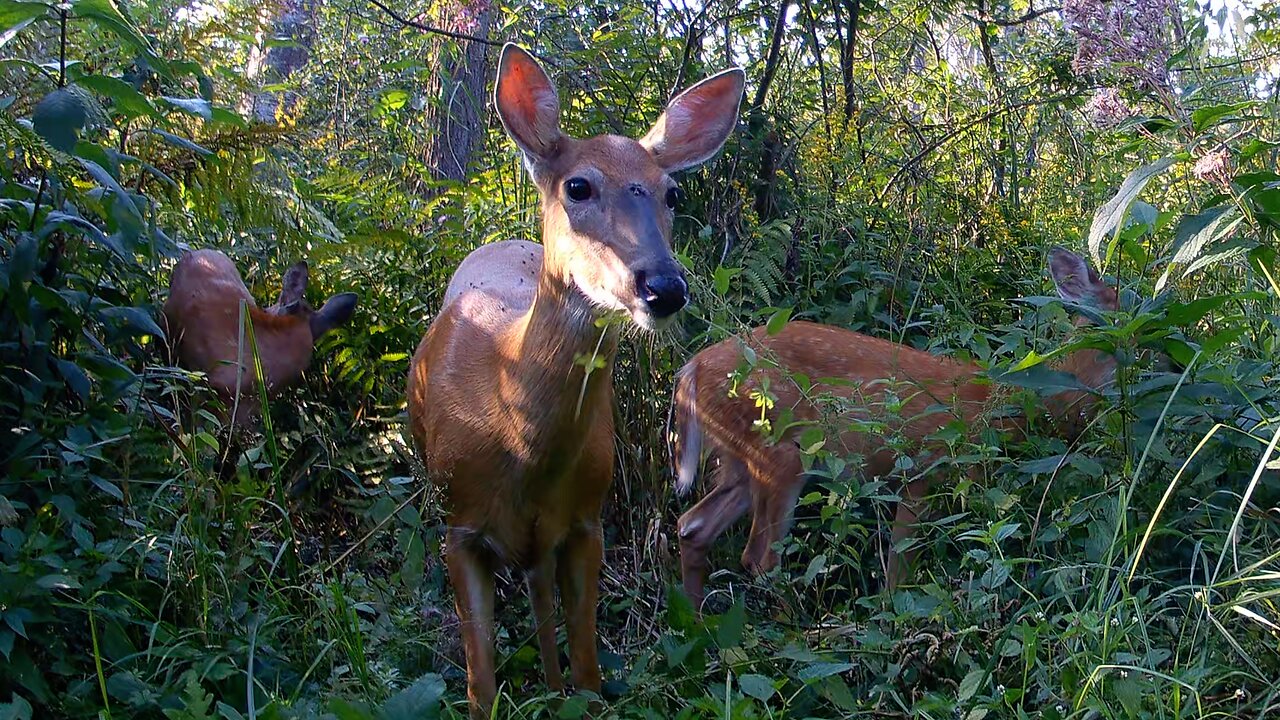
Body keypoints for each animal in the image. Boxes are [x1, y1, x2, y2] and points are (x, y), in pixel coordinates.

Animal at [409, 46, 747, 717]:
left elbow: (589, 665)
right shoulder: (458, 524)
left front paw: (573, 688)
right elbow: (480, 685)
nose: (664, 287)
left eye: (672, 192)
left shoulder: (588, 518)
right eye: (578, 186)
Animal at [670, 245, 1121, 604]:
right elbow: (897, 574)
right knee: (759, 558)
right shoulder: (926, 467)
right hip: (777, 450)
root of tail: (690, 370)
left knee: (691, 527)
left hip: (738, 460)